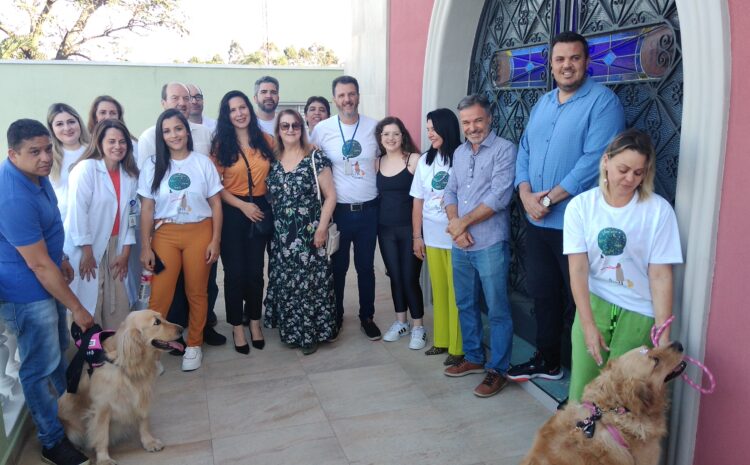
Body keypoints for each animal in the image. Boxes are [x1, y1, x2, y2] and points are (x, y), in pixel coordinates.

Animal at [57, 308, 184, 464]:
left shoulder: (141, 394)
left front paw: (149, 442)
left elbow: (144, 421)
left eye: (163, 318)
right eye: (157, 322)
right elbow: (102, 435)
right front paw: (104, 459)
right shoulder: (102, 407)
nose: (182, 329)